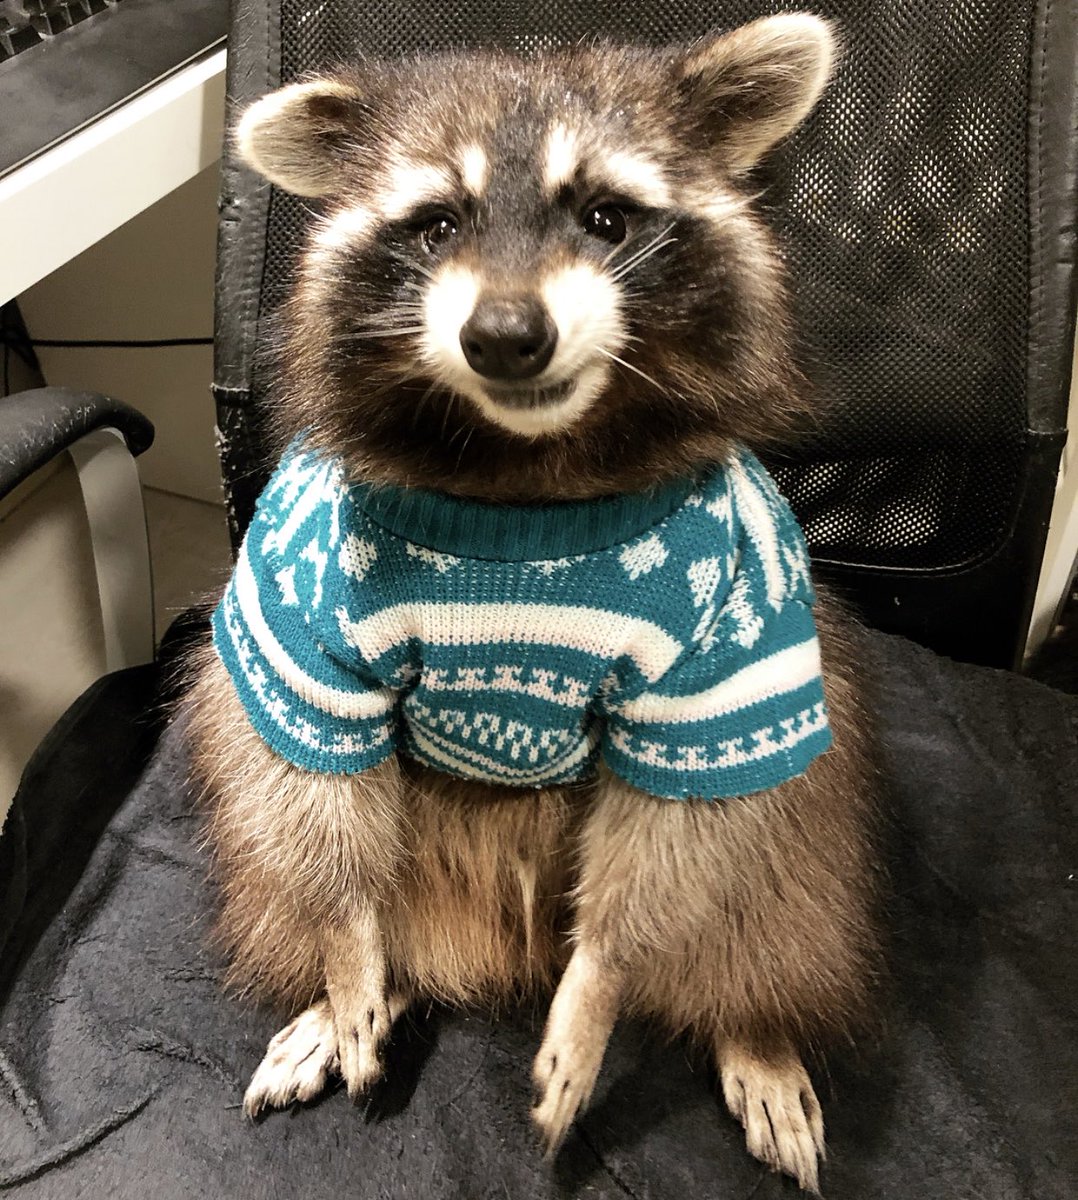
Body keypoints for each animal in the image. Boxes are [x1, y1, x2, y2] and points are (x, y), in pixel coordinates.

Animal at [185, 14, 882, 1192]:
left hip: (796, 738)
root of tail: (493, 940)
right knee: (268, 799)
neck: (524, 472)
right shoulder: (306, 599)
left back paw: (751, 1021)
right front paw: (346, 949)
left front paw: (600, 984)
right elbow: (306, 766)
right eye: (435, 224)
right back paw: (357, 979)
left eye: (605, 216)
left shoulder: (731, 630)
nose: (506, 334)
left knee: (777, 848)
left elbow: (679, 821)